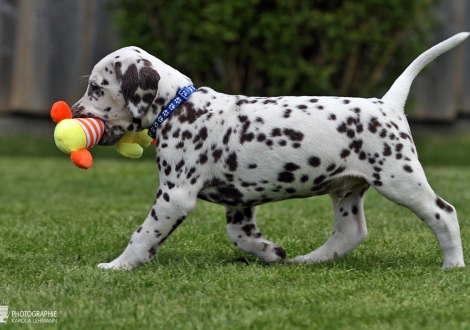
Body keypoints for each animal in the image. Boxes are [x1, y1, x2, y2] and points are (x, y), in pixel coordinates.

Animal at [71, 32, 468, 270]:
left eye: (96, 88)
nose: (73, 111)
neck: (180, 107)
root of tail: (387, 104)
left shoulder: (175, 195)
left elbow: (144, 233)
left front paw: (119, 265)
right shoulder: (239, 201)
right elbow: (239, 235)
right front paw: (270, 251)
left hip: (399, 179)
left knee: (443, 213)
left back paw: (452, 265)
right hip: (346, 190)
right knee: (351, 231)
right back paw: (310, 260)